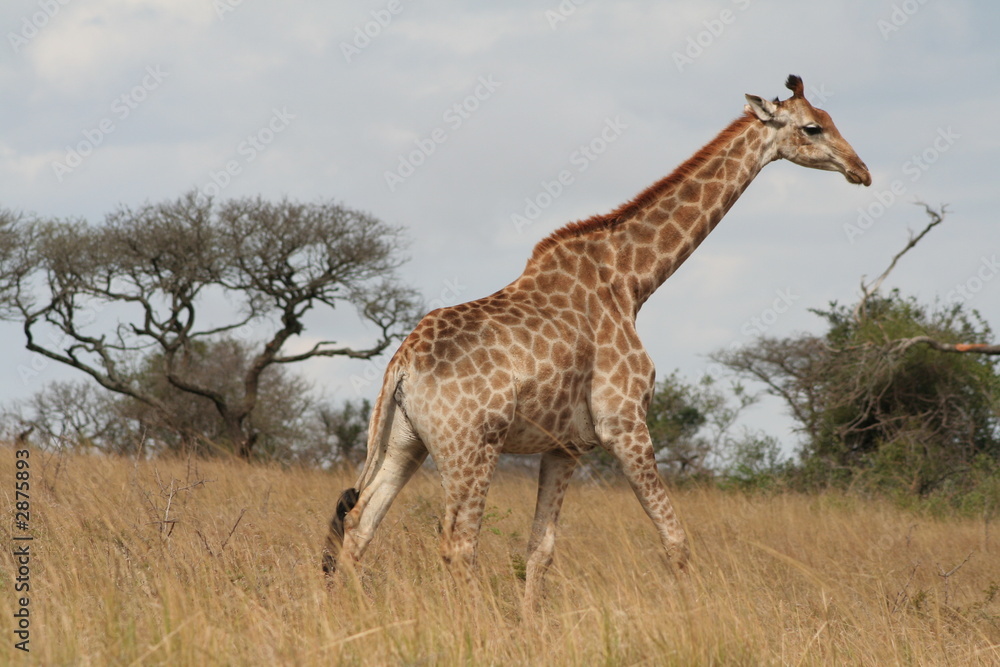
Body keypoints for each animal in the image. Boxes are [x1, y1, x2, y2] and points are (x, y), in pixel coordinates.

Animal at [323, 75, 871, 611]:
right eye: (813, 127)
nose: (861, 170)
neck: (631, 281)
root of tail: (401, 364)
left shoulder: (565, 446)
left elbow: (540, 549)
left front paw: (531, 625)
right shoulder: (624, 423)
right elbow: (675, 538)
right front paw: (699, 617)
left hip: (406, 442)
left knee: (360, 526)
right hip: (471, 446)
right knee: (457, 543)